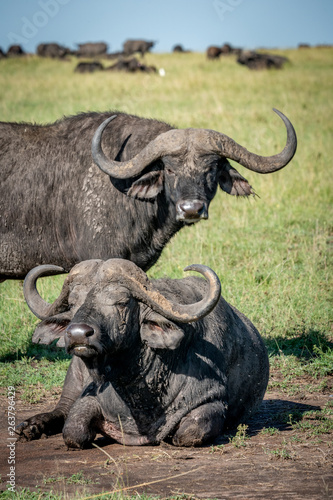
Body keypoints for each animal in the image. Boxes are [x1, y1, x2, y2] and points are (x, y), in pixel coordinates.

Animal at [16, 260, 268, 448]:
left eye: (121, 302)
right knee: (61, 410)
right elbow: (73, 430)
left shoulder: (213, 400)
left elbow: (188, 432)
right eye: (73, 302)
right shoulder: (89, 398)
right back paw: (30, 426)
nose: (78, 334)